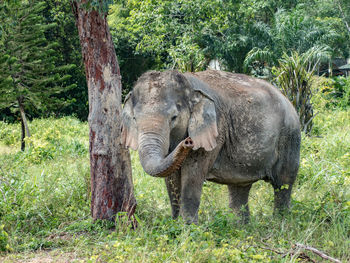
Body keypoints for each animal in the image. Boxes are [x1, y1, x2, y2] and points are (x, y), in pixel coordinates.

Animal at [121, 69, 300, 224]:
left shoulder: (215, 131)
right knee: (240, 187)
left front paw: (189, 229)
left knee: (283, 183)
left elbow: (193, 177)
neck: (189, 86)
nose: (188, 141)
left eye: (174, 117)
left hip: (290, 136)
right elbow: (171, 181)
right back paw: (241, 227)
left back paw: (279, 223)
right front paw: (175, 224)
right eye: (135, 118)